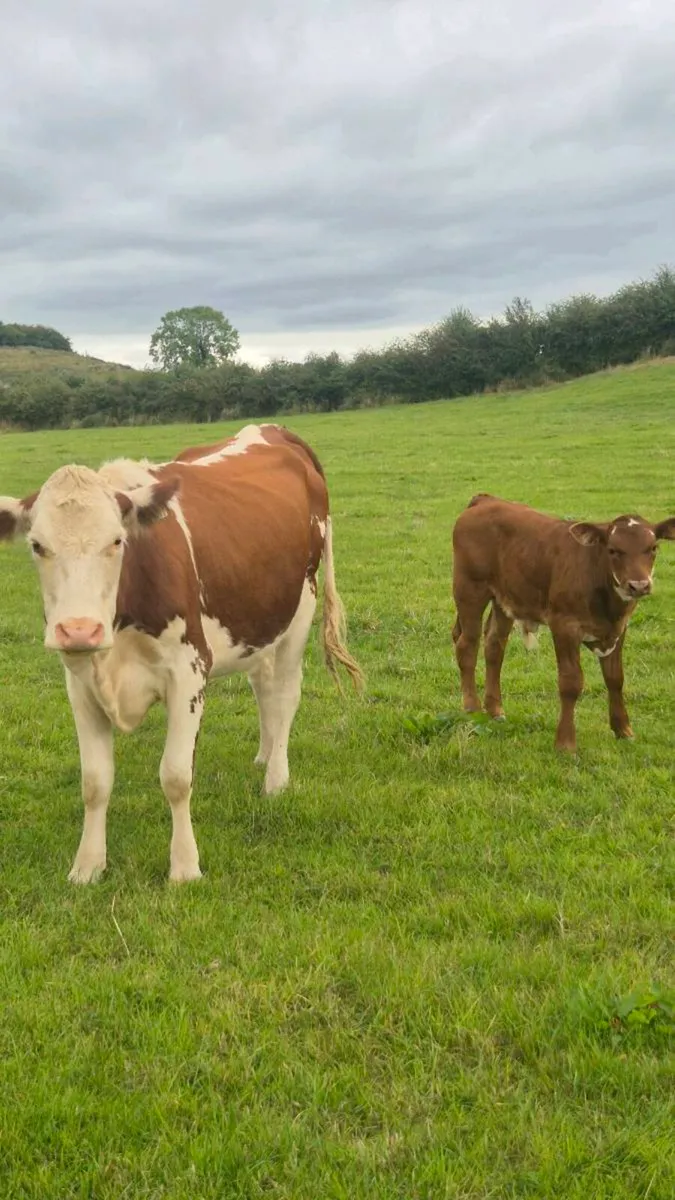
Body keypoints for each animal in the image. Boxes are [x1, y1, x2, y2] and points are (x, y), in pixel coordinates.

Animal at [0, 423, 363, 883]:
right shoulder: (80, 683)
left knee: (284, 694)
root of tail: (272, 429)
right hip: (256, 617)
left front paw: (185, 867)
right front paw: (87, 866)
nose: (78, 629)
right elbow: (95, 782)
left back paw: (276, 779)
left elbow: (175, 775)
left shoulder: (189, 671)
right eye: (37, 546)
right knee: (263, 686)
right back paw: (264, 756)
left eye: (117, 541)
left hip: (300, 608)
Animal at [452, 493, 675, 752]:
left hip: (504, 600)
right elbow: (570, 683)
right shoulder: (564, 626)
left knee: (494, 647)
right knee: (467, 646)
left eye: (653, 548)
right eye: (612, 550)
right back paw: (472, 708)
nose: (639, 585)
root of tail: (486, 499)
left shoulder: (618, 629)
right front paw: (566, 744)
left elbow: (615, 679)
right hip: (470, 590)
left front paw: (623, 730)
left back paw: (495, 710)